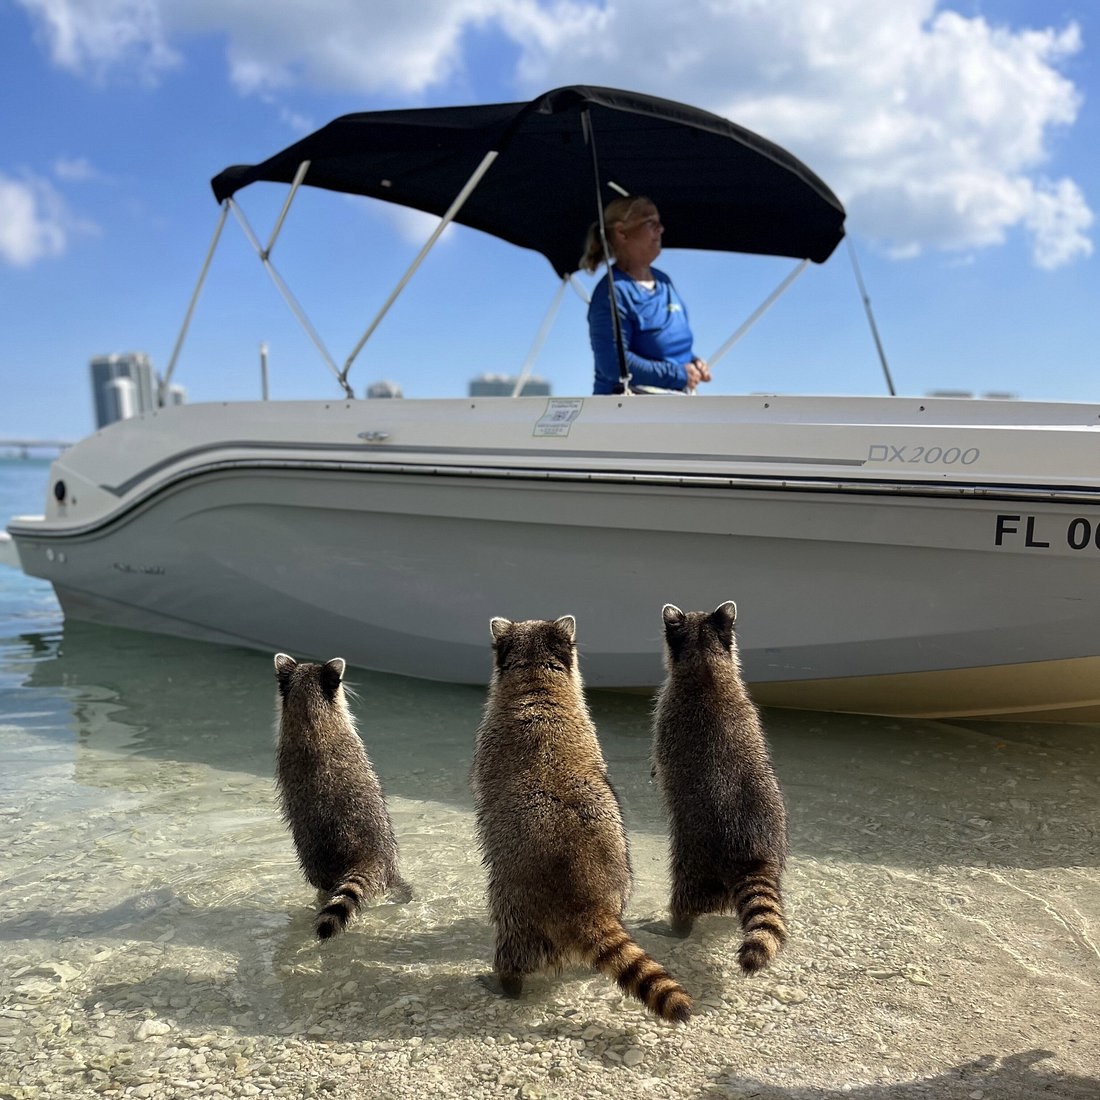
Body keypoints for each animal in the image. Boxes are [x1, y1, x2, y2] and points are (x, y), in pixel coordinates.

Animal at [471, 615, 692, 1023]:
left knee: (512, 947)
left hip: (515, 906)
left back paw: (505, 983)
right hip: (621, 878)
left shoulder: (488, 741)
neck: (538, 678)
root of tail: (586, 899)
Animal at [651, 602, 788, 974]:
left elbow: (660, 756)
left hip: (693, 863)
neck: (706, 659)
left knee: (684, 899)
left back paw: (676, 926)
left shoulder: (666, 714)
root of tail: (752, 854)